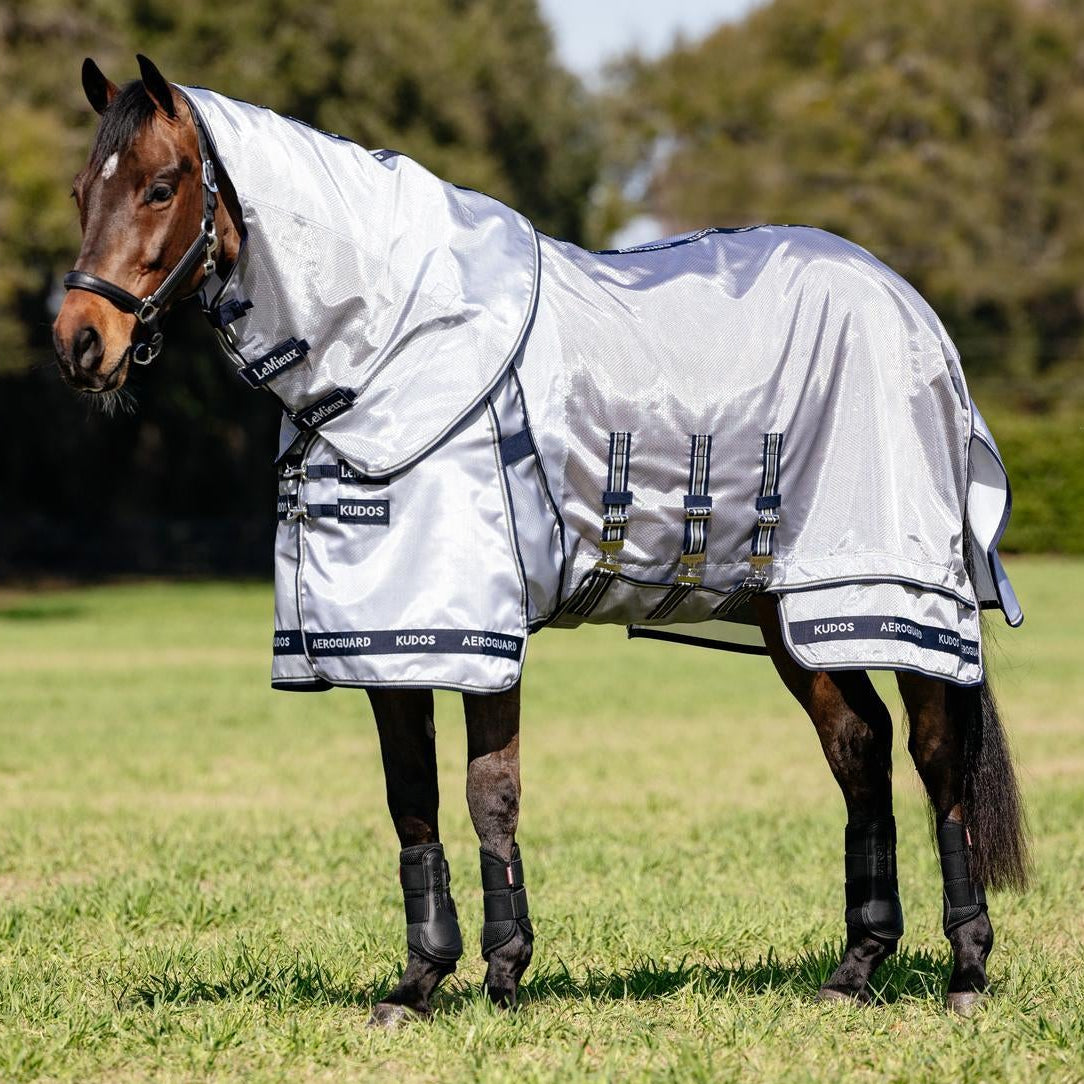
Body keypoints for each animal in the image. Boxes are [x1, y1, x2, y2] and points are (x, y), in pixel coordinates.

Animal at [53, 55, 1029, 1025]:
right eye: (79, 191)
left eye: (162, 186)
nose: (80, 344)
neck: (392, 343)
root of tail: (912, 309)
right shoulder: (384, 638)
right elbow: (412, 799)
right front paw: (421, 982)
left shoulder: (476, 630)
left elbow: (490, 792)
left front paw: (500, 973)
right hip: (791, 613)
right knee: (860, 749)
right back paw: (856, 966)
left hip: (890, 596)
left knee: (936, 758)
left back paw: (967, 970)